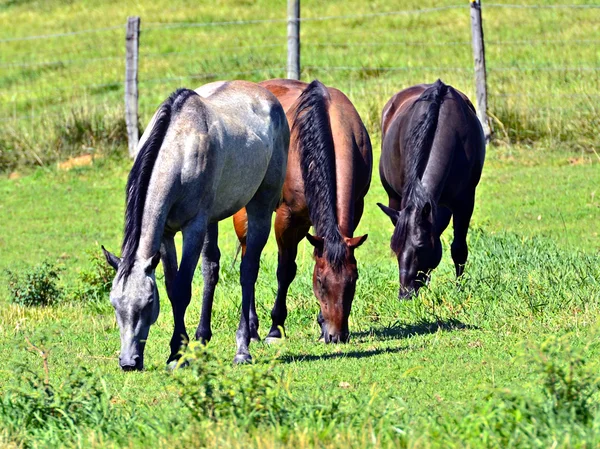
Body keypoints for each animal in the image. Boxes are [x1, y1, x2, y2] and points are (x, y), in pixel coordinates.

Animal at [102, 80, 290, 368]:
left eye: (147, 303)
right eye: (114, 303)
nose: (128, 362)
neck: (180, 148)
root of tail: (269, 96)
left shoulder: (193, 228)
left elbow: (182, 289)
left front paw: (177, 355)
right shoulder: (166, 234)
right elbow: (172, 287)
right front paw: (179, 349)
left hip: (259, 207)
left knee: (248, 271)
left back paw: (243, 347)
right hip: (213, 219)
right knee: (211, 268)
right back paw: (203, 339)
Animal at [232, 79, 372, 342]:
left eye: (353, 280)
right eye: (320, 281)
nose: (336, 336)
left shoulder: (355, 209)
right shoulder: (287, 219)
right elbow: (285, 270)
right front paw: (275, 329)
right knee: (249, 262)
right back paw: (252, 329)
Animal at [380, 80, 488, 298]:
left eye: (420, 246)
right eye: (394, 247)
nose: (405, 294)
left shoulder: (465, 201)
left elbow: (459, 248)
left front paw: (459, 288)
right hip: (393, 197)